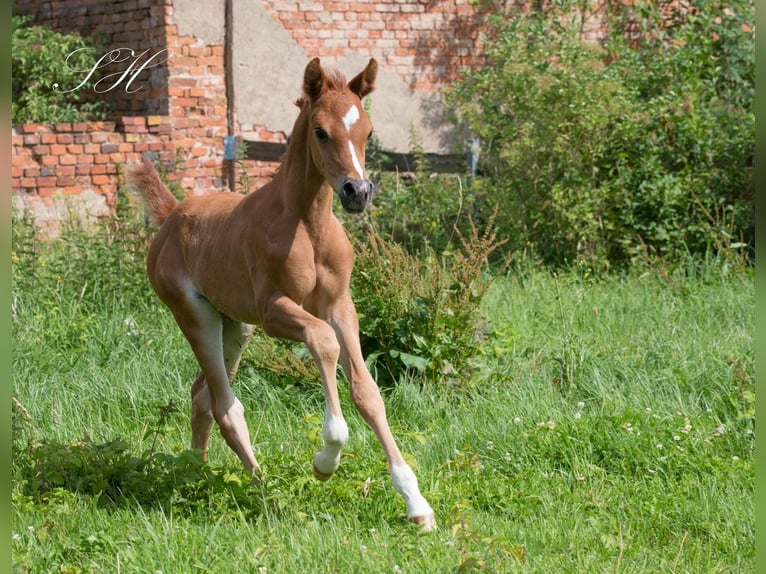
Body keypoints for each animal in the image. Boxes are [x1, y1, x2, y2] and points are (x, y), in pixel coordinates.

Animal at [126, 57, 438, 532]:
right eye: (321, 132)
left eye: (367, 131)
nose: (358, 192)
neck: (308, 224)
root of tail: (172, 213)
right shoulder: (274, 310)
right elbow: (323, 343)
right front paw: (326, 459)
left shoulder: (339, 306)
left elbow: (368, 393)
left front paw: (416, 503)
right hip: (196, 316)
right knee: (225, 406)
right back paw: (266, 491)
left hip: (236, 326)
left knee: (202, 397)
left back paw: (194, 474)